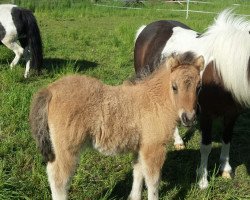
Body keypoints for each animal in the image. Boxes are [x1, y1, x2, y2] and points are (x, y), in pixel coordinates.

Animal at [30, 52, 204, 200]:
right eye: (174, 87)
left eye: (198, 87)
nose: (189, 118)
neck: (155, 100)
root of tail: (50, 90)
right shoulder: (154, 148)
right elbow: (153, 181)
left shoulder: (140, 147)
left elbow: (138, 172)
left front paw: (134, 197)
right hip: (67, 148)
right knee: (59, 179)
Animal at [134, 10, 250, 189]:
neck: (221, 71)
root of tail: (146, 28)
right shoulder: (206, 115)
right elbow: (206, 146)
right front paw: (202, 179)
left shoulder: (232, 114)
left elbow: (227, 140)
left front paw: (225, 169)